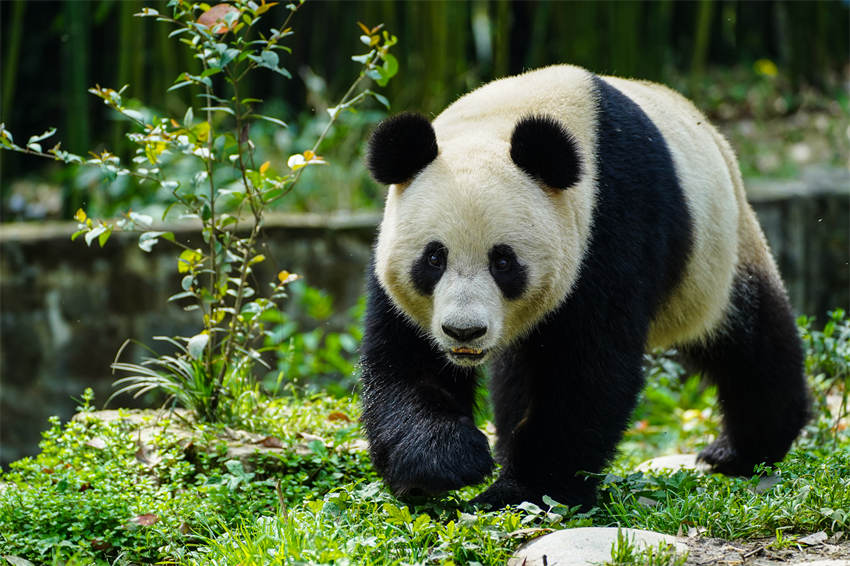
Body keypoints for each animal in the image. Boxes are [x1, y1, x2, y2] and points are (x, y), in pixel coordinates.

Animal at [359, 64, 811, 508]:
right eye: (434, 258)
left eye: (503, 261)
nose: (464, 332)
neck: (507, 117)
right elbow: (406, 361)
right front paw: (443, 462)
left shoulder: (610, 222)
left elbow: (589, 368)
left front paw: (526, 489)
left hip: (719, 254)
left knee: (751, 342)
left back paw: (741, 450)